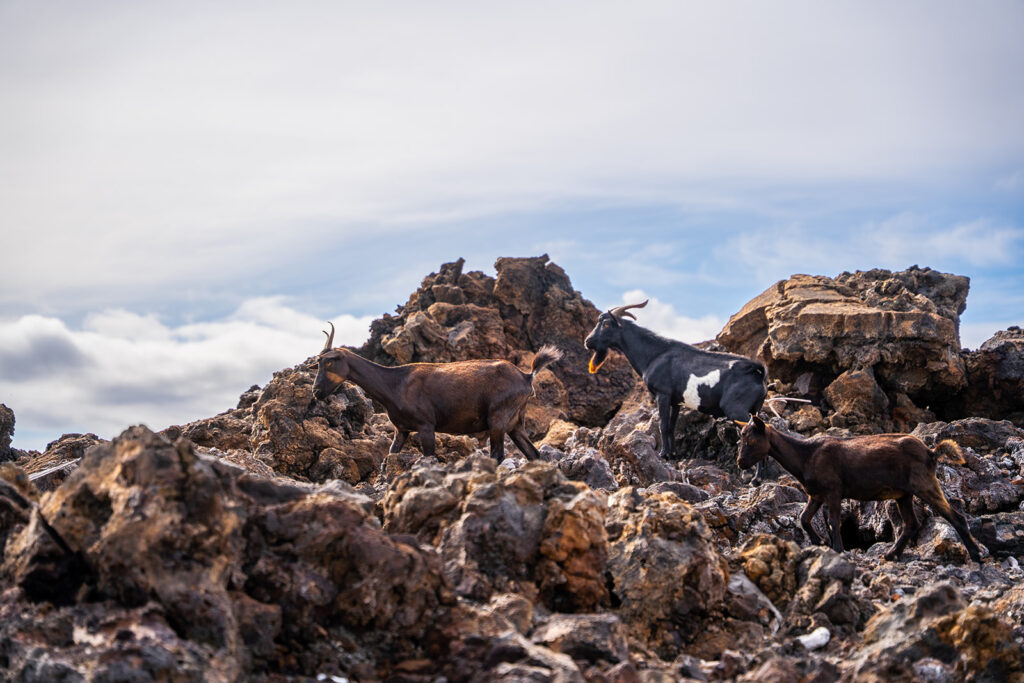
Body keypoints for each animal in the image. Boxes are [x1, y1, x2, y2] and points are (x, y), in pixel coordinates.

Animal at [310, 323, 562, 460]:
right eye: (318, 363)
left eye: (329, 362)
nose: (316, 391)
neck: (394, 383)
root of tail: (526, 376)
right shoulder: (402, 430)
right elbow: (390, 456)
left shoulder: (426, 426)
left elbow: (428, 457)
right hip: (515, 423)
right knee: (533, 454)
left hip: (498, 419)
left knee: (498, 455)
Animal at [584, 300, 768, 462]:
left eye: (606, 324)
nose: (588, 341)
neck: (654, 354)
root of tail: (757, 373)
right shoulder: (676, 402)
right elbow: (672, 427)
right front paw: (672, 455)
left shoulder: (662, 394)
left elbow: (663, 425)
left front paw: (663, 455)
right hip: (755, 409)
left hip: (736, 409)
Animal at [736, 414, 982, 563]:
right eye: (741, 438)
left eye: (751, 441)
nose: (740, 463)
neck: (806, 455)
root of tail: (931, 452)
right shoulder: (816, 495)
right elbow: (804, 518)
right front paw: (820, 542)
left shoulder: (833, 491)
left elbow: (833, 521)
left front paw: (837, 548)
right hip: (904, 494)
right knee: (911, 523)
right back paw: (891, 554)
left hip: (925, 484)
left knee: (956, 516)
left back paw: (976, 554)